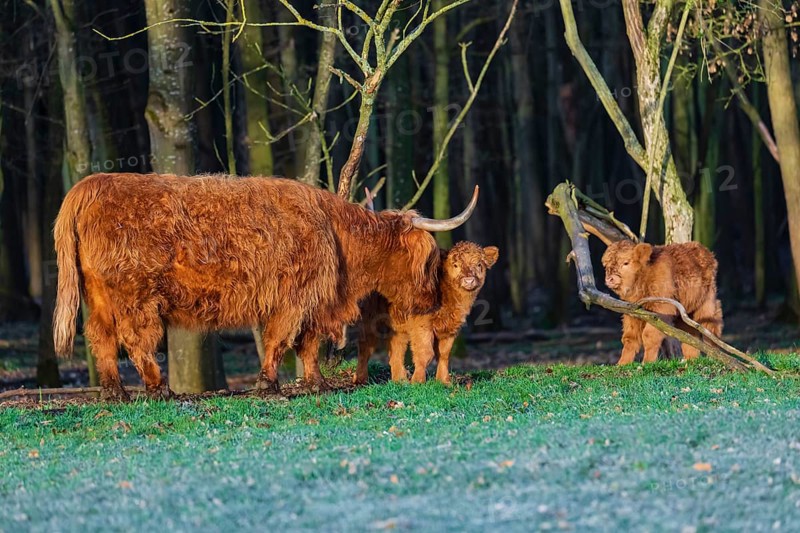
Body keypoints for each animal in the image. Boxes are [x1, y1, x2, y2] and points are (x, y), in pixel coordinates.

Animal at [53, 173, 478, 400]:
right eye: (430, 259)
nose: (431, 300)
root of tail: (91, 184)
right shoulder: (297, 295)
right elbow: (283, 339)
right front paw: (269, 384)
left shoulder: (313, 299)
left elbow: (307, 344)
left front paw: (316, 383)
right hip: (134, 293)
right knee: (135, 338)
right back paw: (159, 389)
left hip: (99, 294)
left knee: (101, 337)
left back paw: (115, 392)